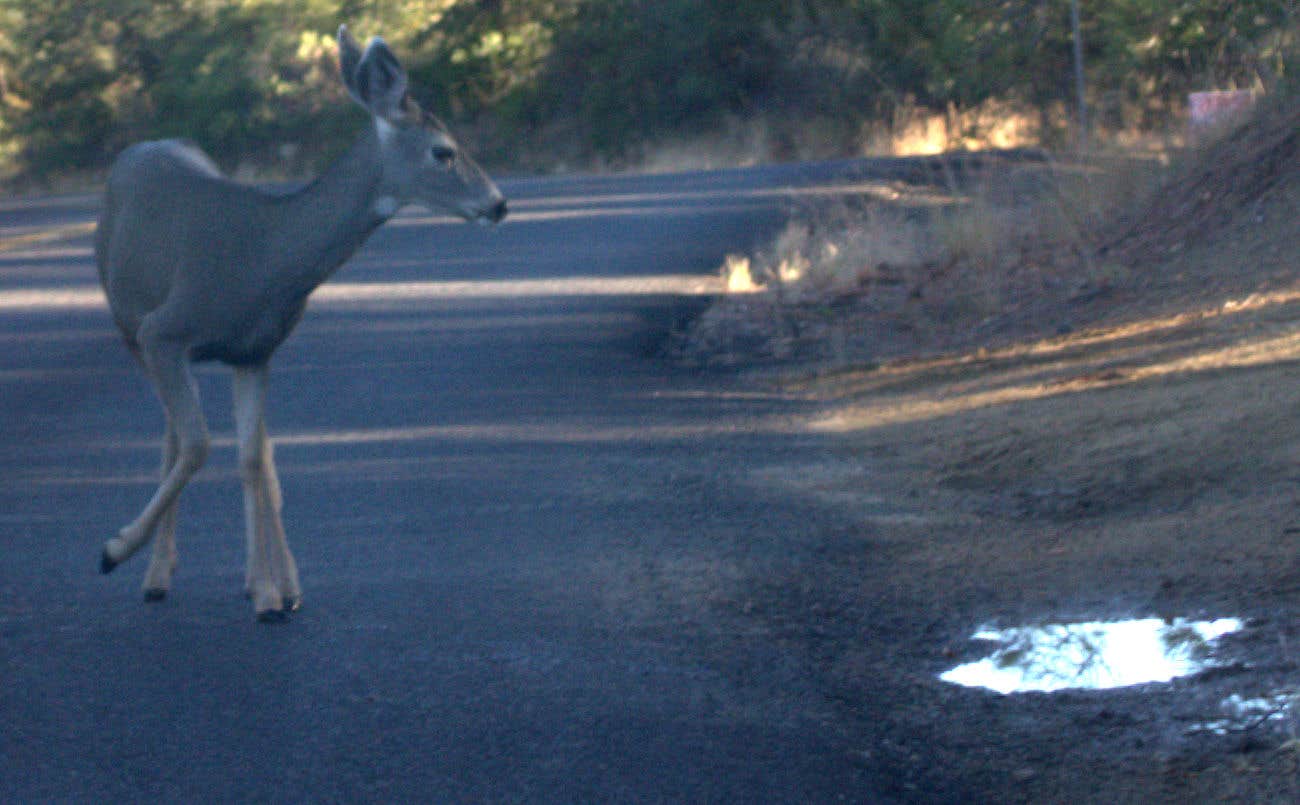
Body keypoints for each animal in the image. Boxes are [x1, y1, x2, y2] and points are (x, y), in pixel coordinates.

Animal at [91, 22, 504, 621]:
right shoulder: (164, 330)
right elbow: (197, 446)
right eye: (443, 152)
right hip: (127, 324)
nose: (499, 204)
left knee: (251, 450)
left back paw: (267, 582)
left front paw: (267, 591)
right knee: (173, 437)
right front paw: (114, 548)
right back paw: (155, 573)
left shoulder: (256, 350)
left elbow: (251, 457)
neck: (264, 259)